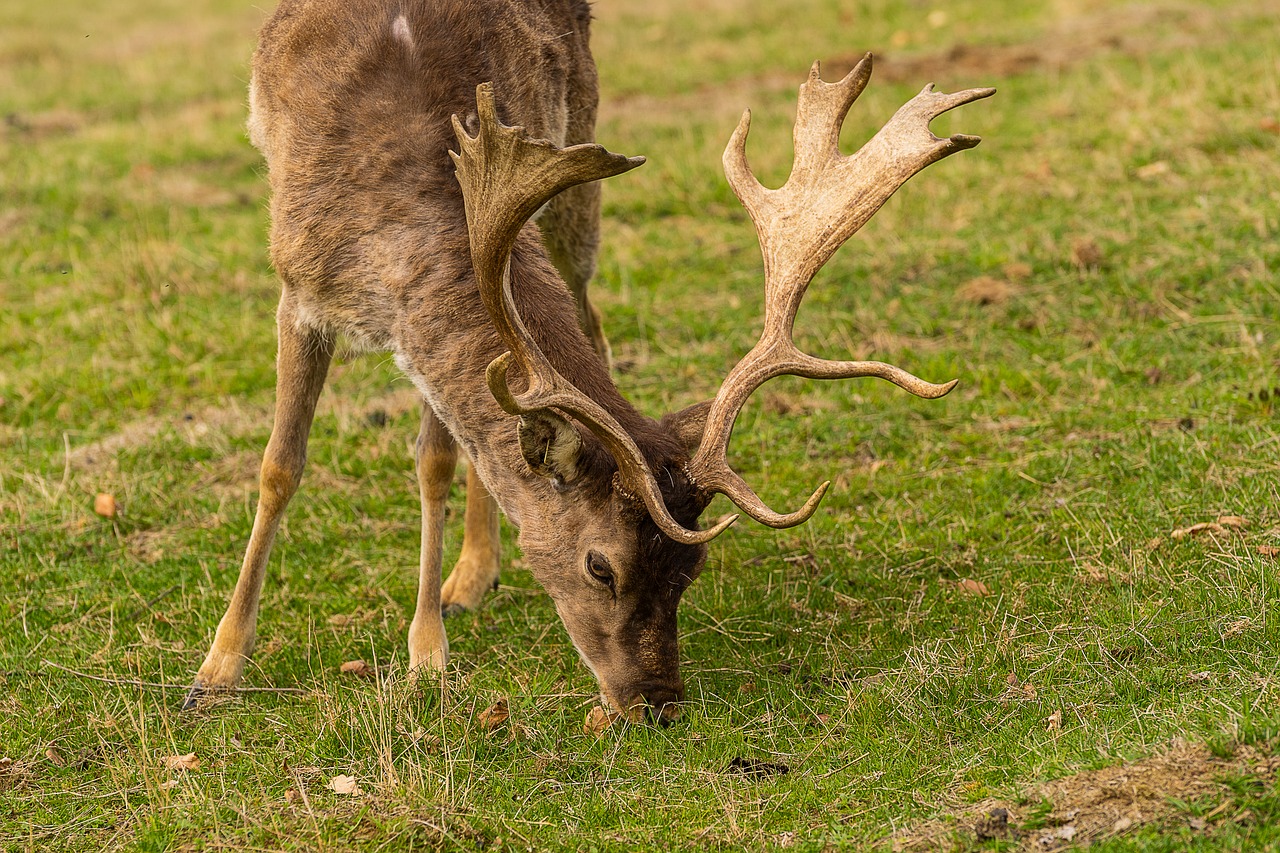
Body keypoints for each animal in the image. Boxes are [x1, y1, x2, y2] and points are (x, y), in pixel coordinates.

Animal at [185, 0, 993, 722]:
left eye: (689, 569)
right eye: (600, 566)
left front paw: (425, 653)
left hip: (574, 186)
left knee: (586, 328)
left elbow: (435, 460)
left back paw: (472, 572)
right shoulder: (298, 290)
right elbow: (281, 467)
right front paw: (217, 670)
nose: (657, 702)